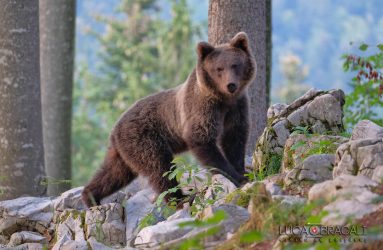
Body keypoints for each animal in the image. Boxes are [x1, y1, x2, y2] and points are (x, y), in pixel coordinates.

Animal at [84, 31, 258, 207]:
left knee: (115, 173)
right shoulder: (202, 108)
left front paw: (242, 171)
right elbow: (202, 139)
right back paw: (181, 198)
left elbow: (235, 139)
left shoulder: (236, 107)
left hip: (125, 150)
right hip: (144, 139)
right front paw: (237, 177)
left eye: (235, 65)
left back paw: (90, 196)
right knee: (160, 167)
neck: (223, 100)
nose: (231, 85)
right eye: (219, 68)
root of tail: (114, 129)